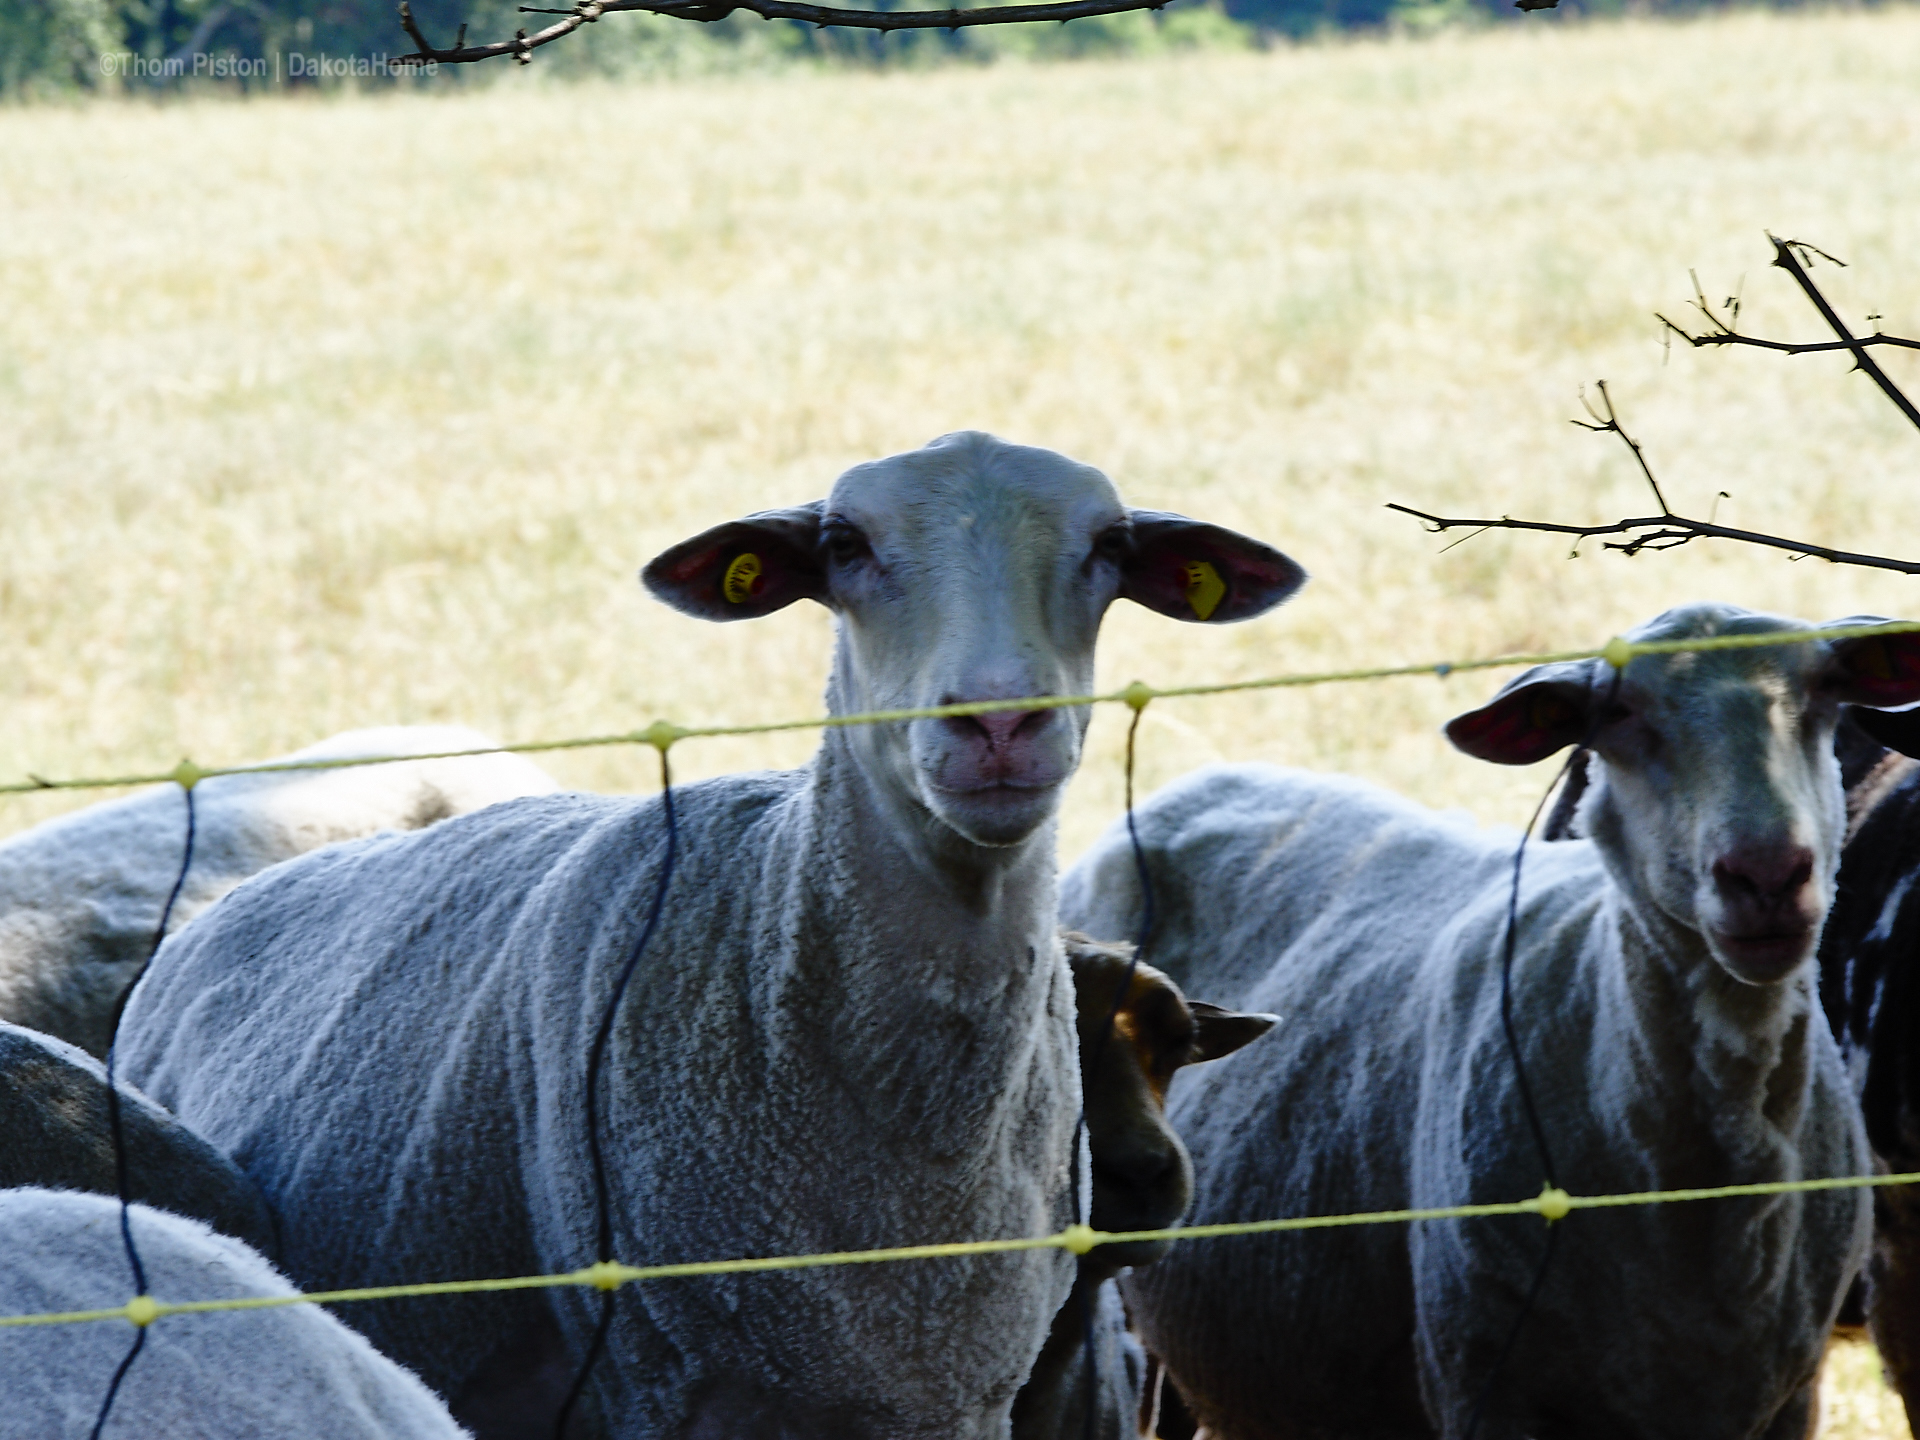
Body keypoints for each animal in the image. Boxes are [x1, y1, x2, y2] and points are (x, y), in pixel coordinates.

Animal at [1059, 606, 1912, 1440]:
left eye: (1825, 694)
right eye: (1620, 712)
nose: (1768, 875)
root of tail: (1198, 782)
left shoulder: (1787, 1395)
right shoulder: (1482, 1379)